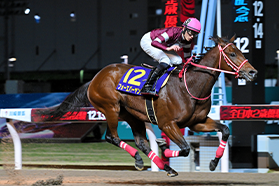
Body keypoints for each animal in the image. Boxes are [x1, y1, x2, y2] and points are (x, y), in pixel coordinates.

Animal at [38, 35, 258, 177]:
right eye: (232, 53)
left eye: (240, 50)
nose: (253, 72)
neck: (189, 85)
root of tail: (94, 78)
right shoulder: (167, 124)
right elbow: (185, 148)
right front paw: (165, 148)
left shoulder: (198, 122)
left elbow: (225, 130)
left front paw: (213, 162)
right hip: (111, 108)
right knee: (112, 137)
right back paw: (144, 160)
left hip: (131, 115)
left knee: (141, 142)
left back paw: (163, 166)